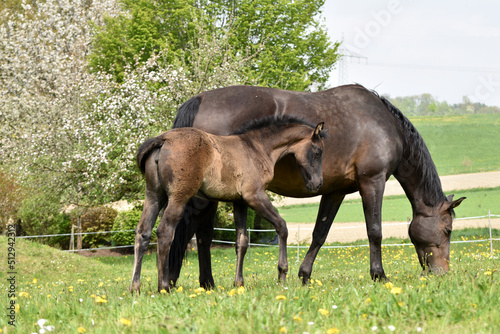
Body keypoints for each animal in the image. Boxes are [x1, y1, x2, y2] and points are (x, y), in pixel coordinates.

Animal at [129, 115, 324, 292]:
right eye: (317, 151)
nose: (317, 183)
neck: (258, 148)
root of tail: (163, 140)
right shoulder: (255, 196)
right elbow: (282, 226)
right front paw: (282, 274)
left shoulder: (240, 202)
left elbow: (242, 241)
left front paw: (239, 283)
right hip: (179, 197)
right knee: (164, 233)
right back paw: (163, 287)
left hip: (154, 196)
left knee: (143, 232)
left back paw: (135, 288)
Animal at [166, 83, 466, 288]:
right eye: (448, 230)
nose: (442, 272)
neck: (384, 124)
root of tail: (200, 98)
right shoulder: (373, 181)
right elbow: (375, 231)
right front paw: (378, 275)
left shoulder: (335, 191)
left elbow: (320, 234)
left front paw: (304, 275)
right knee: (196, 230)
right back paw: (182, 280)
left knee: (201, 233)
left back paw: (205, 283)